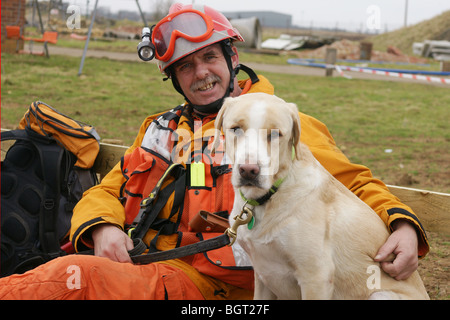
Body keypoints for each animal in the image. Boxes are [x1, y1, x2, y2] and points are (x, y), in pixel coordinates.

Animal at [214, 92, 428, 300]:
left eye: (275, 134)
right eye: (236, 129)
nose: (249, 171)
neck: (269, 197)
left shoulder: (316, 276)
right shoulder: (263, 274)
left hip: (379, 294)